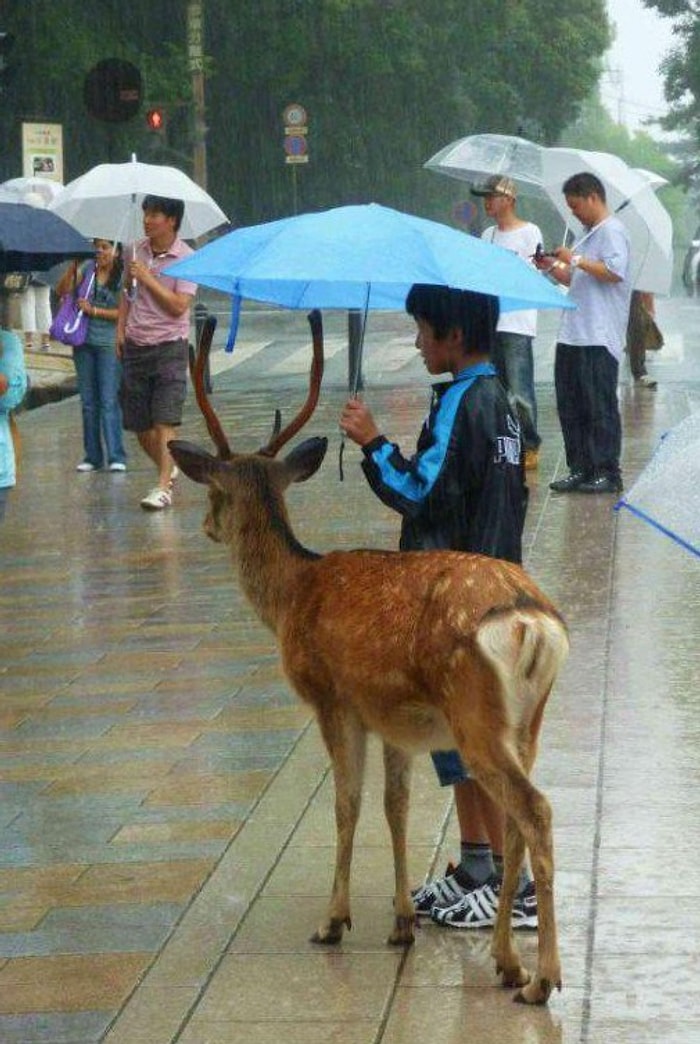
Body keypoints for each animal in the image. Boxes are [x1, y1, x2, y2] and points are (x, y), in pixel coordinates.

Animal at [168, 309, 568, 1002]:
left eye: (213, 493)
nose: (207, 527)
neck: (292, 595)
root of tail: (532, 619)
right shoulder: (395, 720)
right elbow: (395, 807)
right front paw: (402, 921)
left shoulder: (334, 698)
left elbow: (347, 804)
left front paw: (334, 920)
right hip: (527, 721)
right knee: (517, 817)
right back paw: (505, 960)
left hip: (476, 715)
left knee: (535, 811)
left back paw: (540, 977)